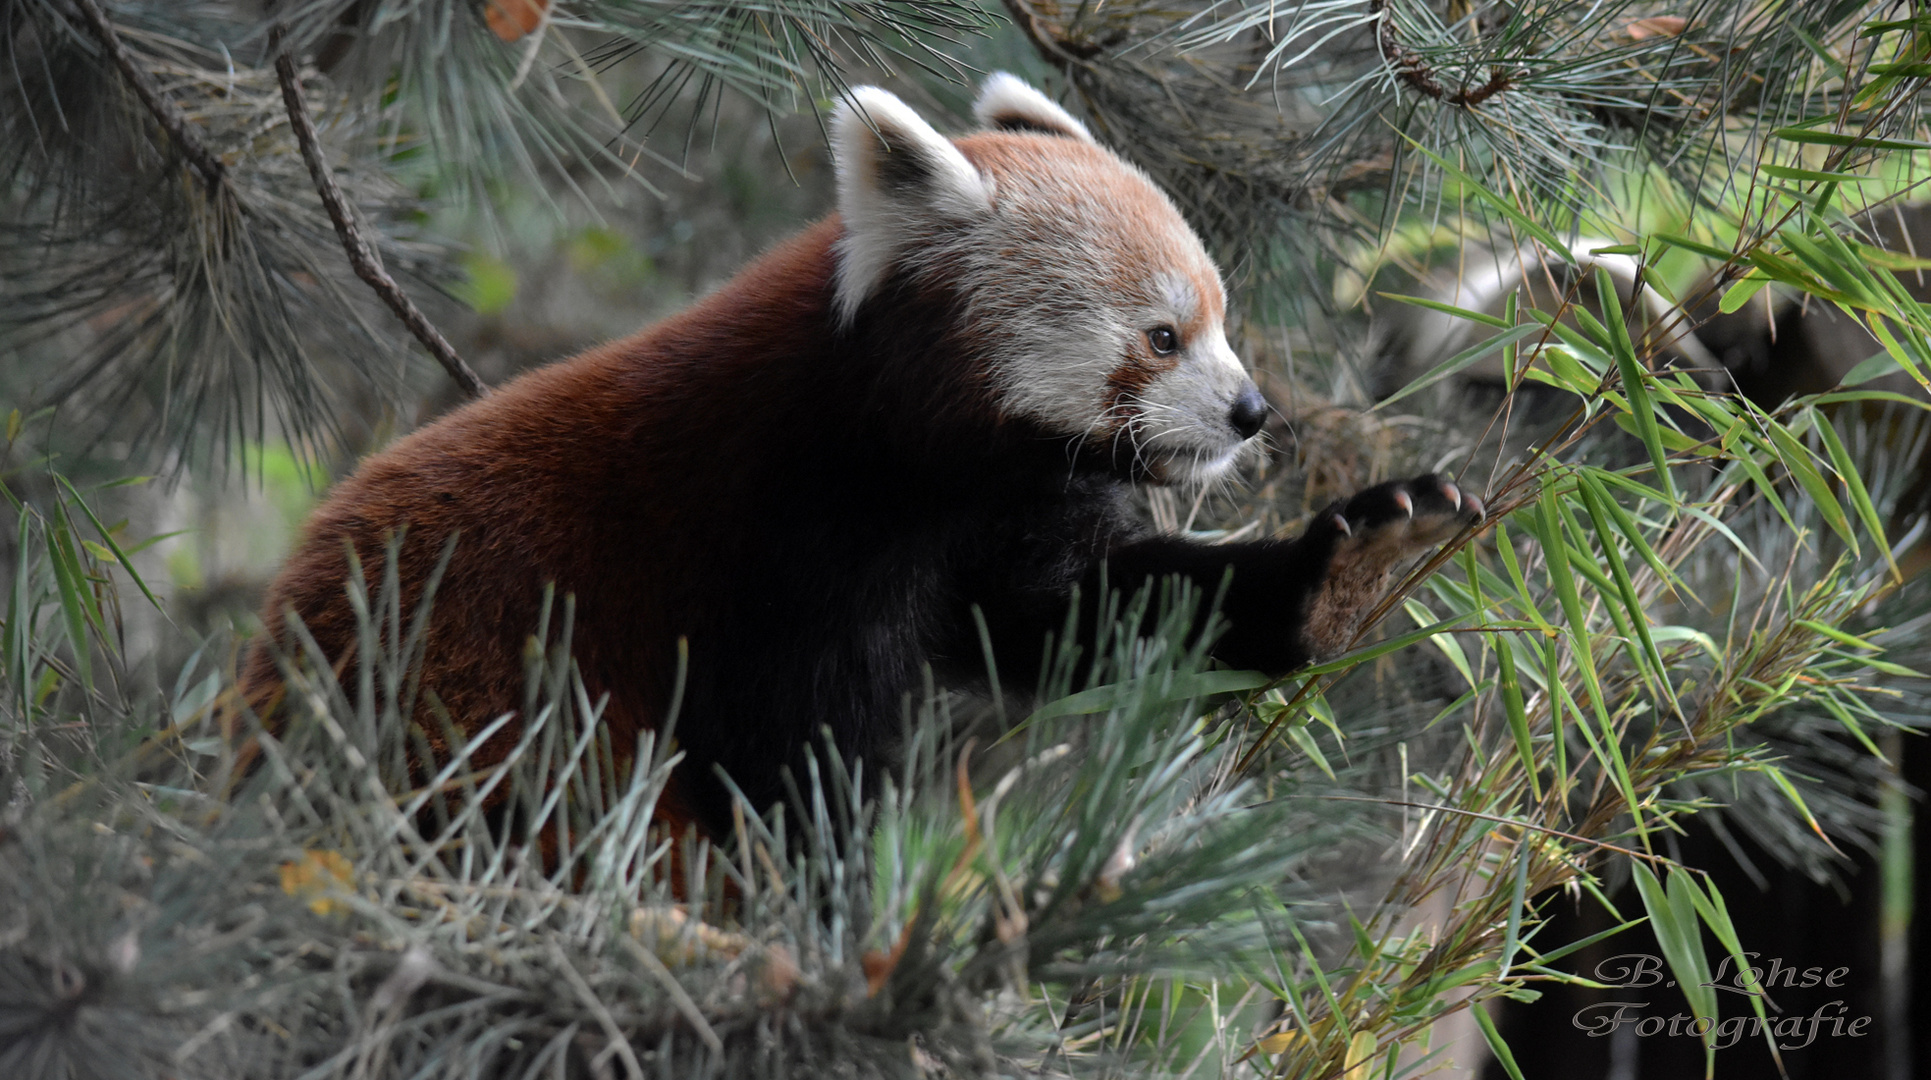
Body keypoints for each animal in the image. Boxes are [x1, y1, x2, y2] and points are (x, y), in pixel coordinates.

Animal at [241, 73, 1475, 838]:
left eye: (1218, 320)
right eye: (1161, 336)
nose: (1250, 412)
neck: (905, 458)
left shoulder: (1008, 518)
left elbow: (1092, 613)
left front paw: (1337, 574)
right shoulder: (773, 539)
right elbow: (792, 747)